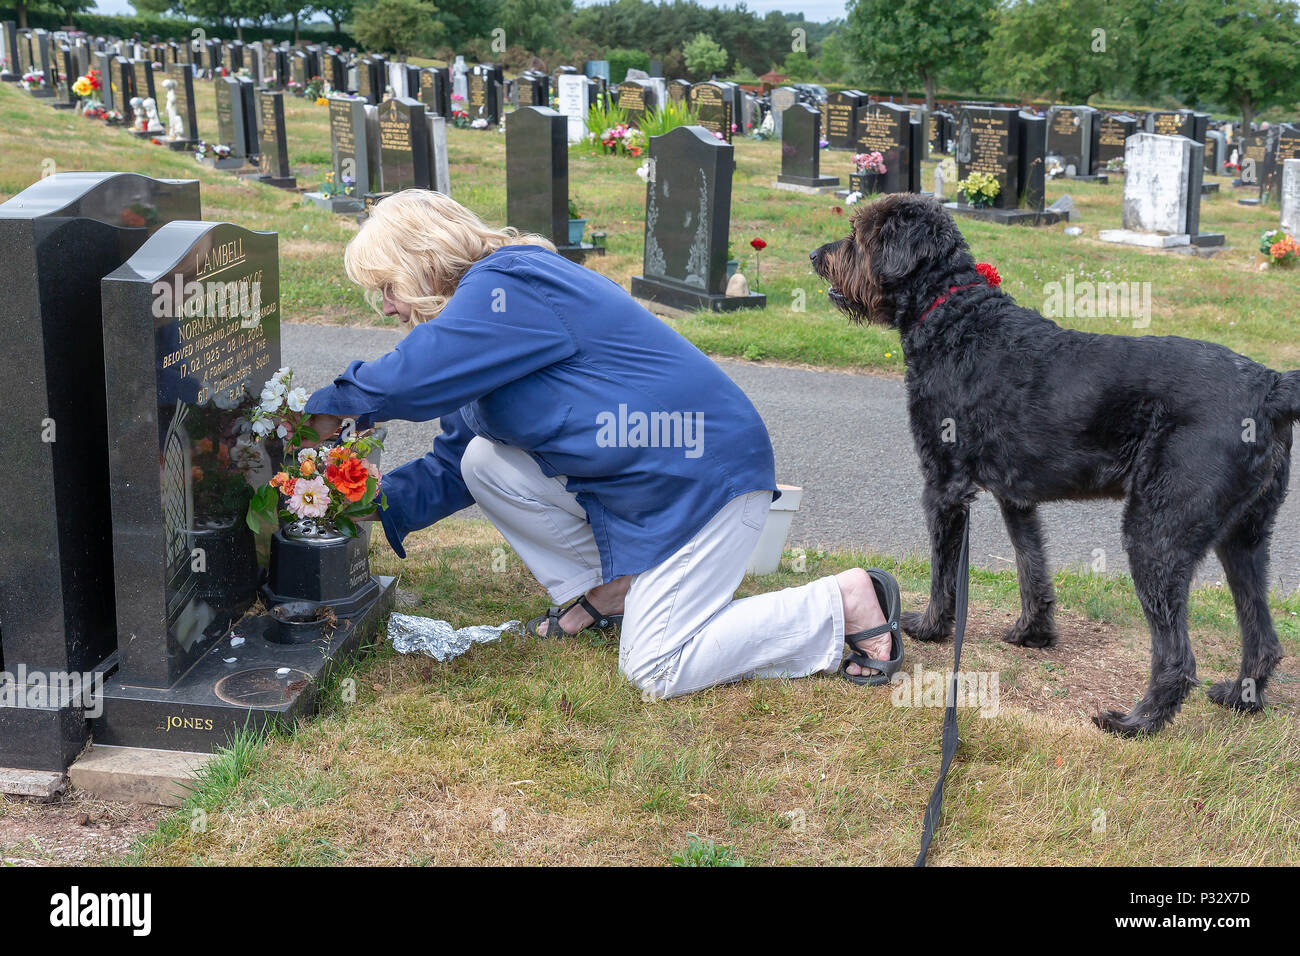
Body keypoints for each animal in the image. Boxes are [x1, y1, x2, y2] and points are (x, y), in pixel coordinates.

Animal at [811, 192, 1300, 733]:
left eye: (860, 235)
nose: (815, 257)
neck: (955, 315)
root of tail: (1270, 386)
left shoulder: (944, 485)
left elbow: (945, 571)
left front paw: (932, 627)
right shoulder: (1016, 497)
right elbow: (1032, 566)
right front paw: (1034, 632)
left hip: (1157, 533)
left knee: (1178, 656)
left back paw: (1138, 723)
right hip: (1245, 539)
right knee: (1263, 636)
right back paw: (1240, 697)